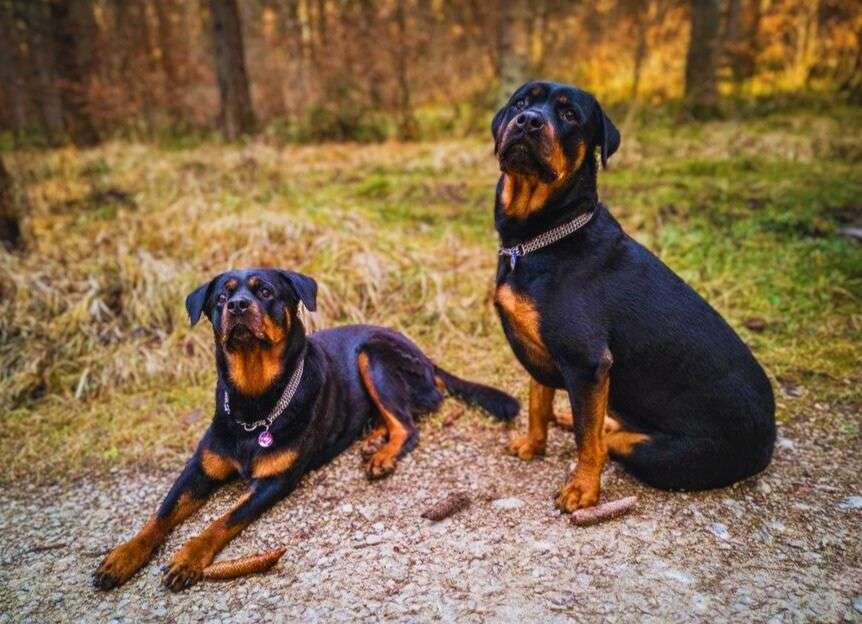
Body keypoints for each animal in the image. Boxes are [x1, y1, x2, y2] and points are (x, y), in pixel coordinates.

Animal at [93, 268, 520, 588]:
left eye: (265, 291)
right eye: (220, 298)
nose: (238, 305)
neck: (255, 400)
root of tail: (427, 357)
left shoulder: (275, 481)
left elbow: (223, 520)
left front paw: (188, 557)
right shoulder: (199, 468)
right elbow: (162, 513)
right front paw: (123, 556)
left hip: (373, 354)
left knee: (409, 426)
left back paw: (383, 455)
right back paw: (372, 440)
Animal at [490, 81, 780, 512]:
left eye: (570, 115)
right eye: (521, 103)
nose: (528, 121)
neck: (537, 239)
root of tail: (769, 440)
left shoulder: (585, 361)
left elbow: (586, 439)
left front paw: (582, 489)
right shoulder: (544, 352)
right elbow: (538, 402)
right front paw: (533, 444)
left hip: (661, 452)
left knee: (605, 441)